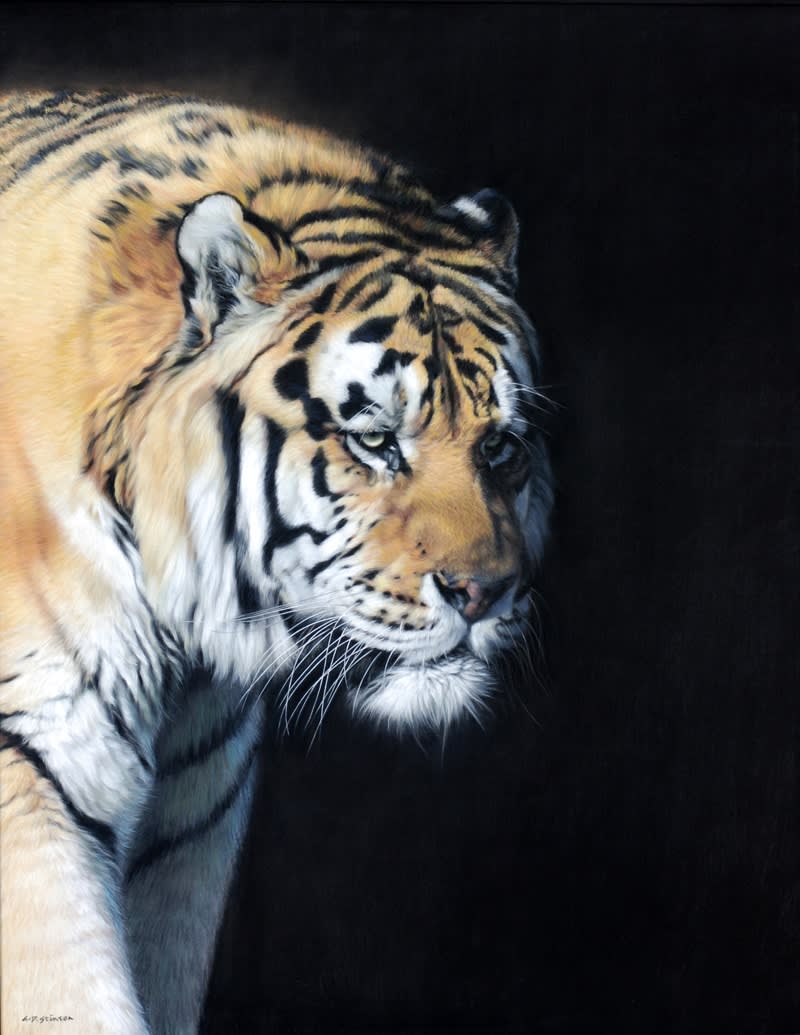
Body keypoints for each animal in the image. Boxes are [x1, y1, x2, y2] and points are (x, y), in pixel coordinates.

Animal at [0, 90, 553, 1034]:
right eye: (375, 440)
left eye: (501, 447)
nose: (485, 593)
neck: (180, 656)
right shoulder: (25, 771)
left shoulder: (185, 829)